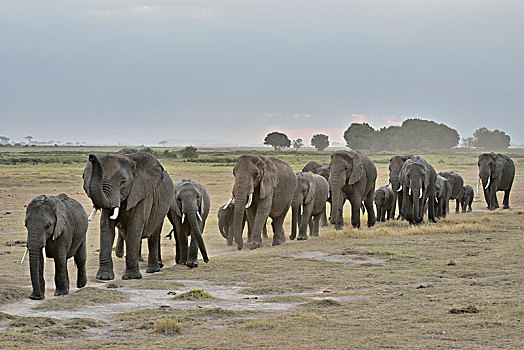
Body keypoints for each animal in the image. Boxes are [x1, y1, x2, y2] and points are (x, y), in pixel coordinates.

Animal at [81, 152, 173, 280]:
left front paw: (131, 277)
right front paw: (104, 277)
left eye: (123, 182)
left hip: (161, 209)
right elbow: (106, 227)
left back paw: (153, 270)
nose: (91, 156)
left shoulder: (142, 193)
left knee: (154, 235)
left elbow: (135, 226)